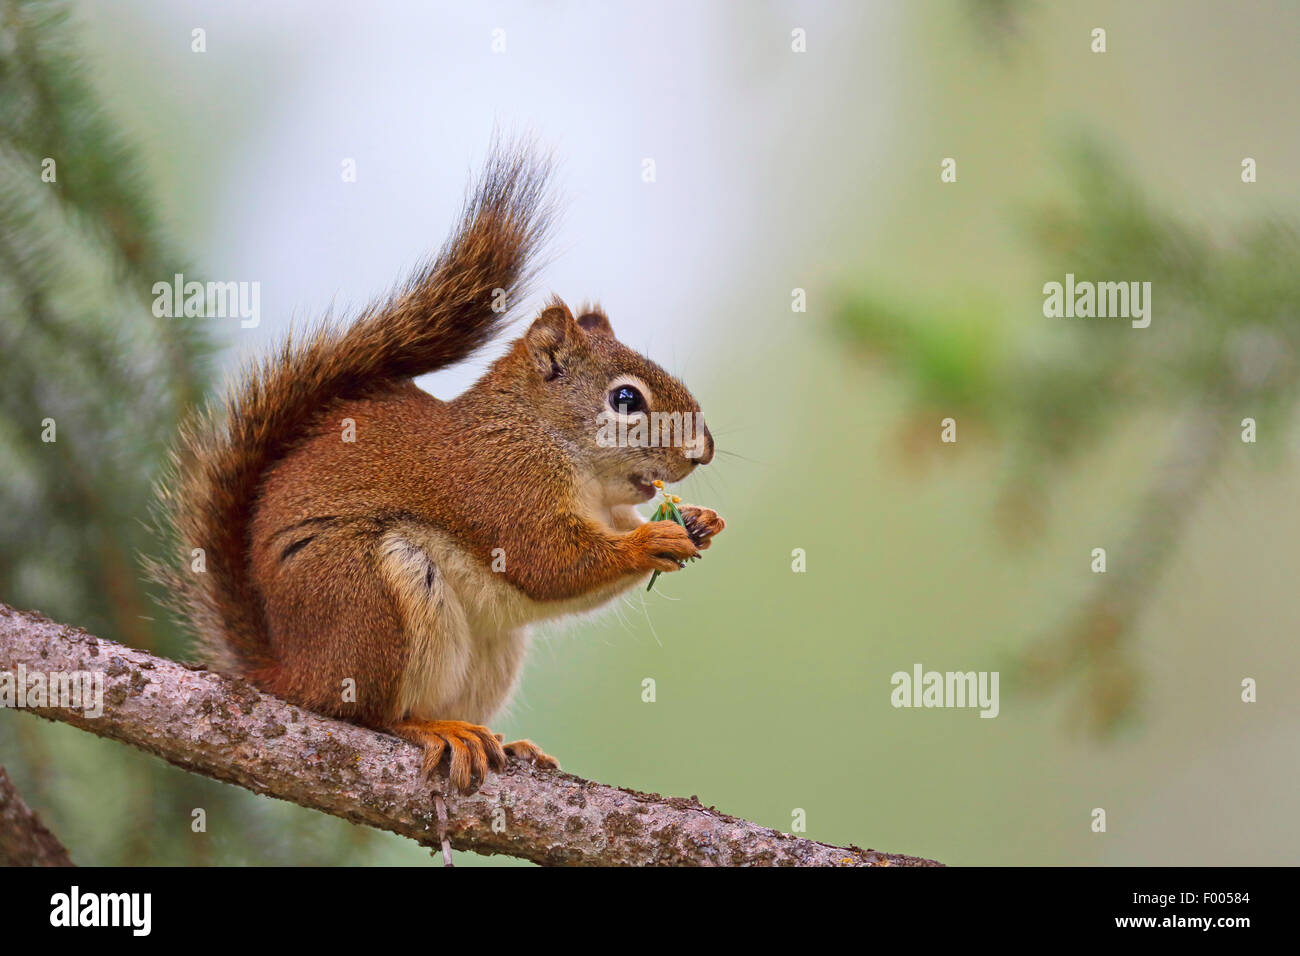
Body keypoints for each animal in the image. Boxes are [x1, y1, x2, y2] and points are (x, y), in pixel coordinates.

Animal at [153, 144, 725, 793]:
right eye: (626, 399)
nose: (704, 449)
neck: (548, 438)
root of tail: (291, 672)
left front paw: (699, 521)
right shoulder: (502, 484)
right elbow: (548, 562)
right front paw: (651, 541)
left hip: (492, 651)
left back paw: (505, 740)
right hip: (367, 600)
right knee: (366, 714)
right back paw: (431, 729)